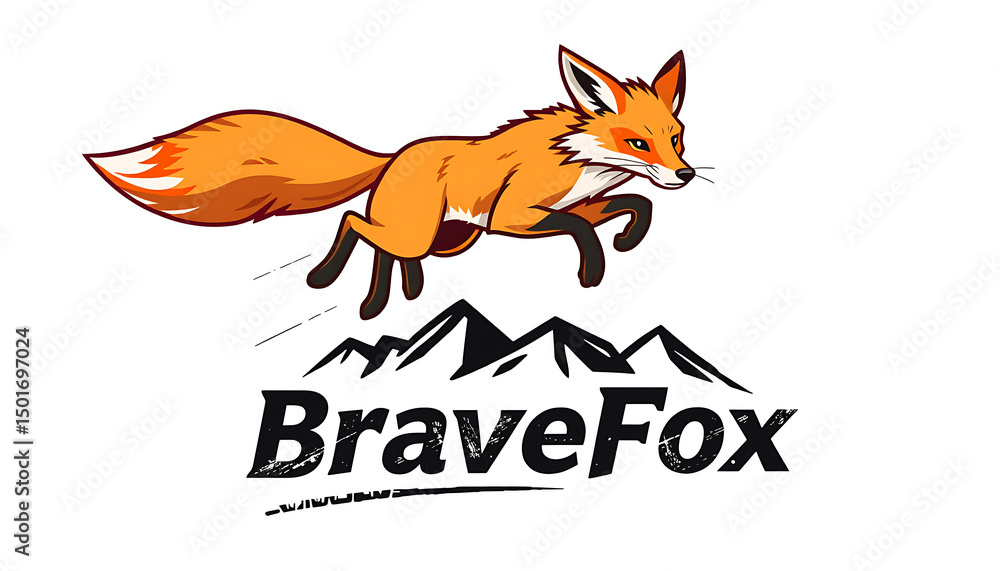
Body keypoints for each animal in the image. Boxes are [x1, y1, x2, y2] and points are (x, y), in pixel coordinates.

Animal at [86, 46, 702, 320]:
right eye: (638, 143)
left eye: (677, 137)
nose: (687, 174)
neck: (579, 159)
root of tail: (395, 156)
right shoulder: (514, 218)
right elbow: (581, 227)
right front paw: (594, 269)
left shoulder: (577, 205)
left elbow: (632, 203)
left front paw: (626, 239)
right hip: (429, 231)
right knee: (352, 221)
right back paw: (335, 281)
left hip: (449, 239)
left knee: (383, 243)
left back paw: (395, 295)